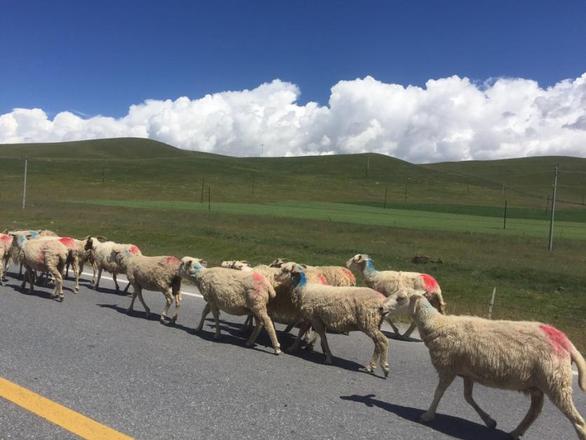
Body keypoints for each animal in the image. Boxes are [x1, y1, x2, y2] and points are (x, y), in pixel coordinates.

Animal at [384, 292, 584, 440]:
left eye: (400, 298)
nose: (382, 308)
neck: (438, 324)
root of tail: (564, 340)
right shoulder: (466, 372)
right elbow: (468, 397)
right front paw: (489, 421)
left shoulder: (447, 368)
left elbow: (438, 393)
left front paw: (427, 415)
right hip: (538, 384)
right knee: (534, 411)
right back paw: (515, 432)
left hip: (555, 381)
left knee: (578, 422)